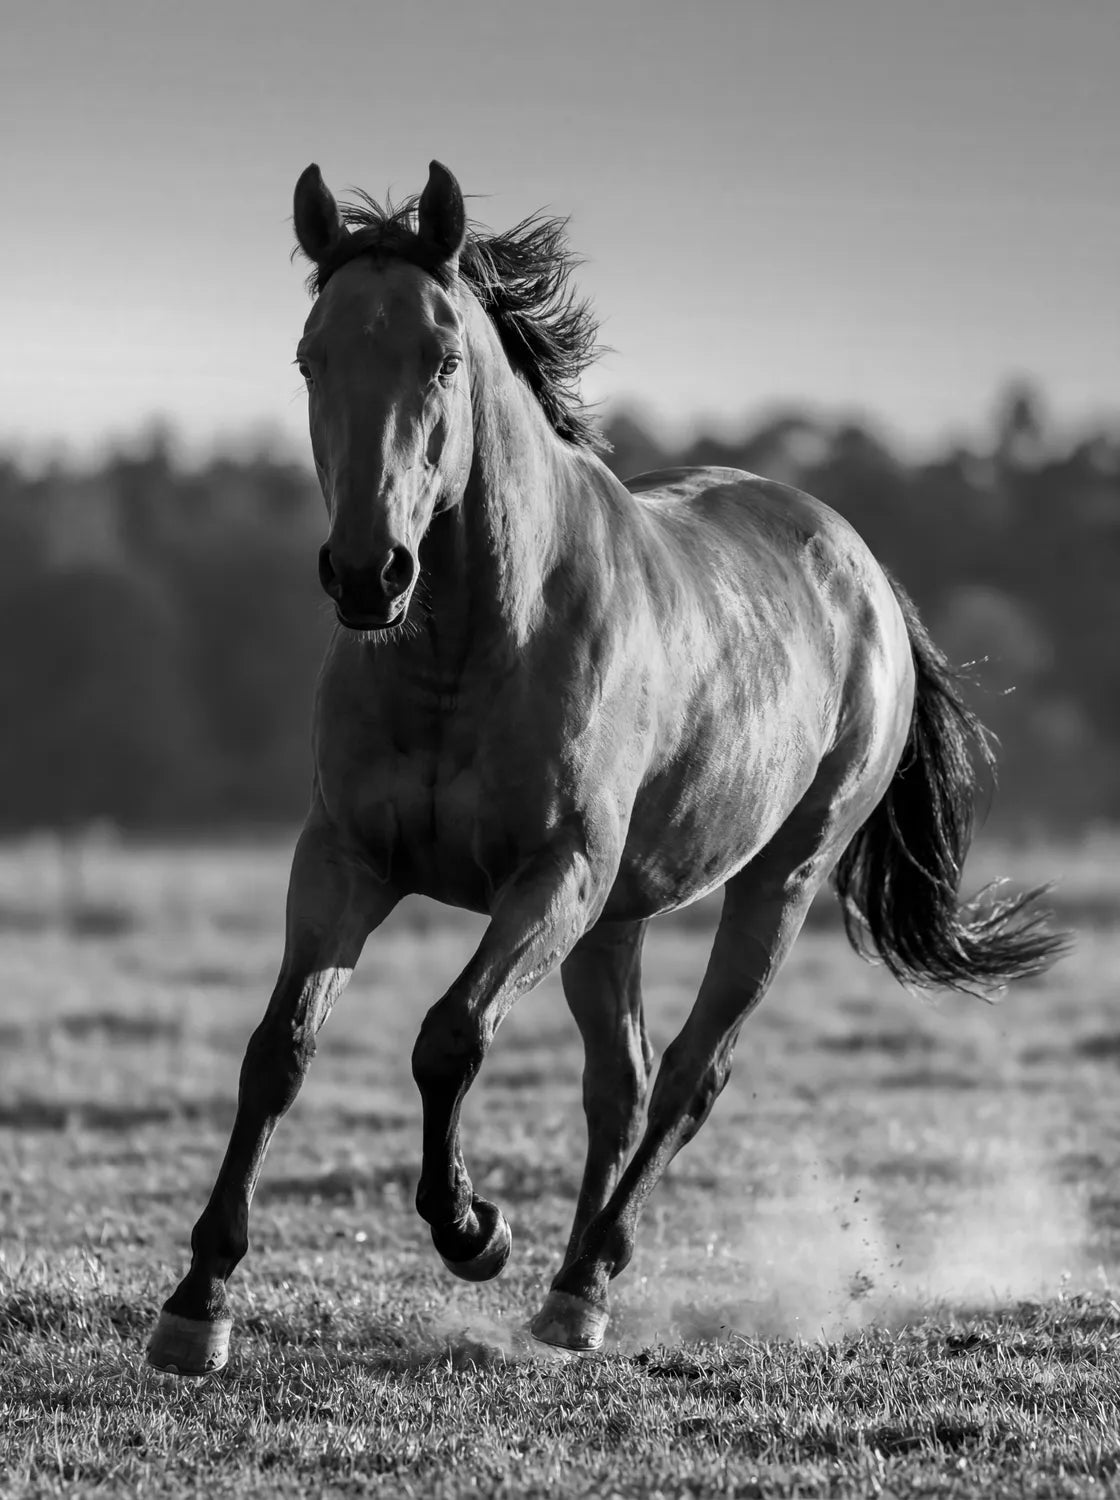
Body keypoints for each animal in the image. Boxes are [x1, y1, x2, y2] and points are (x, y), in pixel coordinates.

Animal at [147, 160, 1066, 1373]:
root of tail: (864, 574)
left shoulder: (554, 877)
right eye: (312, 356)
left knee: (687, 1075)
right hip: (618, 918)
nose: (366, 572)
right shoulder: (344, 863)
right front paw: (197, 1301)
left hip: (774, 883)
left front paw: (473, 1230)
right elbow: (279, 1051)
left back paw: (585, 1274)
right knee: (619, 1085)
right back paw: (569, 1297)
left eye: (442, 357)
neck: (468, 647)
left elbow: (450, 1038)